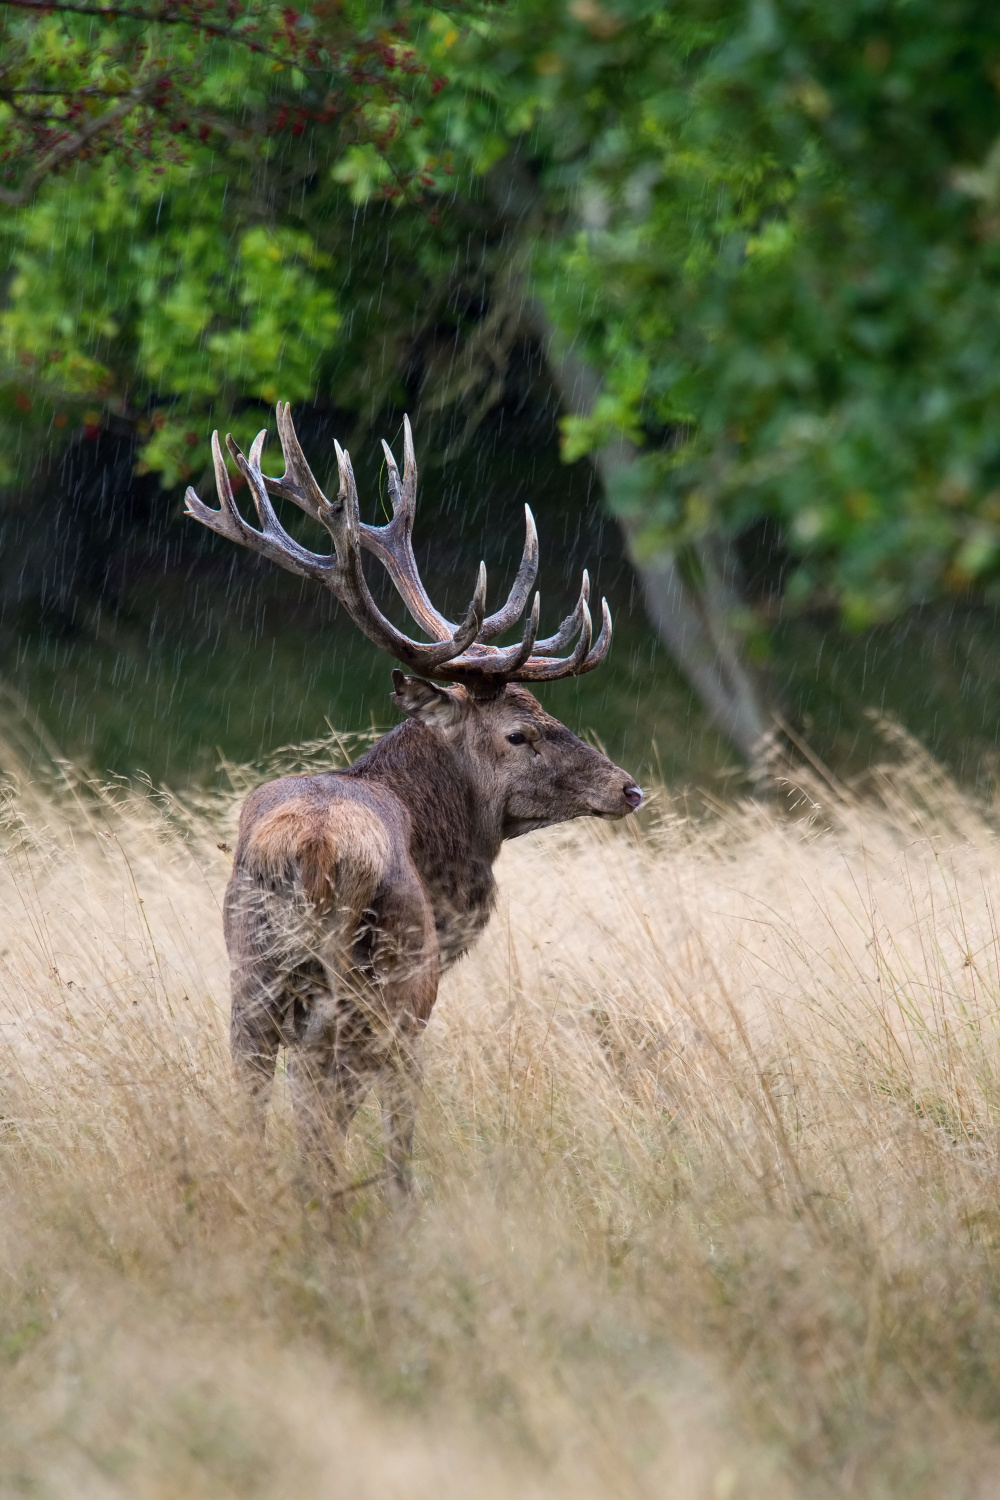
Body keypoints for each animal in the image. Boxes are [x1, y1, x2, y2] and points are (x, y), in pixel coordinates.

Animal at [186, 402, 641, 1194]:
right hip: (379, 995)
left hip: (252, 986)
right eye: (521, 732)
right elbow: (396, 1151)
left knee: (258, 1115)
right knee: (334, 1131)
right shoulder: (418, 1007)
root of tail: (316, 851)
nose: (627, 787)